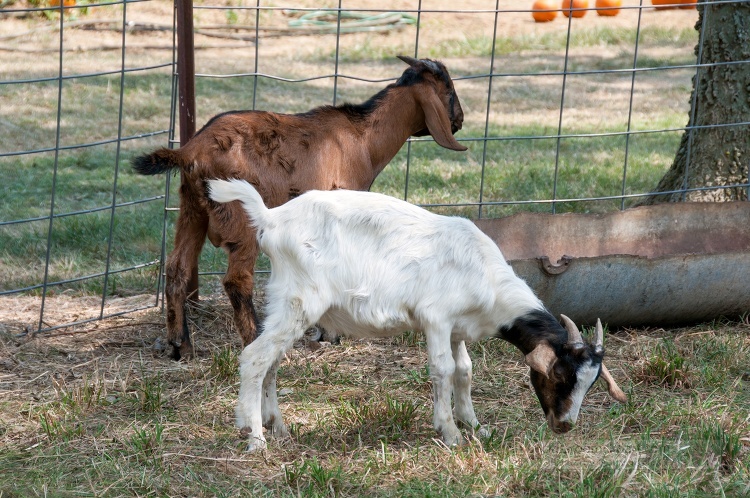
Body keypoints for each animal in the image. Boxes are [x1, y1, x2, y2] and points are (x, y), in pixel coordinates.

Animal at [132, 54, 468, 360]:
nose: (460, 120)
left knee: (177, 268)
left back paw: (181, 346)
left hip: (192, 210)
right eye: (449, 89)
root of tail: (191, 152)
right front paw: (330, 333)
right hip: (239, 214)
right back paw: (256, 343)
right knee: (237, 280)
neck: (363, 138)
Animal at [207, 178, 628, 452]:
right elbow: (442, 369)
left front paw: (476, 427)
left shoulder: (458, 328)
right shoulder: (436, 319)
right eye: (559, 375)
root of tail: (270, 217)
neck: (486, 276)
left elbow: (465, 370)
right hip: (302, 299)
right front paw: (451, 434)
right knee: (255, 356)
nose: (564, 426)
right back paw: (255, 437)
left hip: (285, 301)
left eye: (591, 383)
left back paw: (277, 427)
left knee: (271, 359)